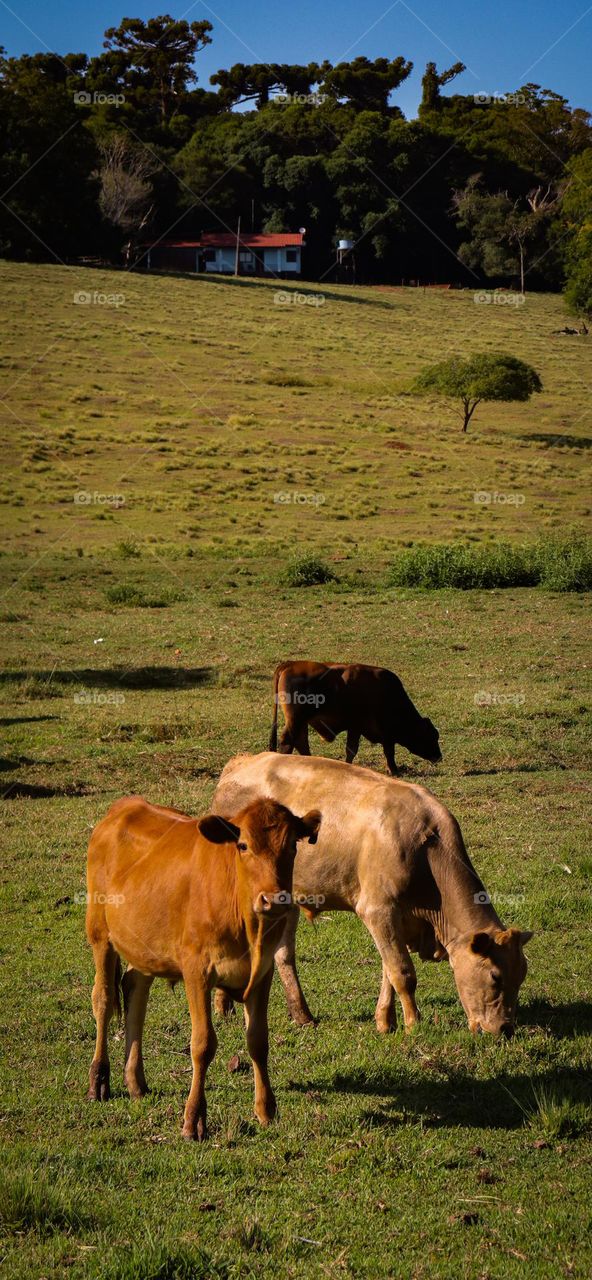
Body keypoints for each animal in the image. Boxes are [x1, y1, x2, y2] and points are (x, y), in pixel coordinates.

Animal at [85, 794, 321, 1140]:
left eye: (292, 845)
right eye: (243, 845)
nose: (274, 899)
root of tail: (127, 805)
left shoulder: (262, 972)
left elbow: (258, 1040)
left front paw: (266, 1109)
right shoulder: (196, 970)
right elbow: (202, 1044)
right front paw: (193, 1118)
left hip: (144, 942)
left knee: (134, 989)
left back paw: (136, 1081)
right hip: (100, 933)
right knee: (102, 999)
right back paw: (99, 1080)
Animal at [213, 754, 533, 1038]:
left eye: (522, 975)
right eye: (495, 976)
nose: (505, 1029)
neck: (428, 847)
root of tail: (241, 762)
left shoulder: (397, 921)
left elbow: (388, 971)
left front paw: (385, 1021)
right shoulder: (379, 910)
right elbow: (403, 973)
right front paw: (413, 1025)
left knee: (283, 953)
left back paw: (301, 1015)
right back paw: (223, 1006)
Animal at [268, 661, 441, 774]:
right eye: (431, 736)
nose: (439, 756)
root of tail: (290, 664)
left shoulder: (355, 728)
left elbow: (351, 750)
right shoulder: (384, 734)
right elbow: (387, 752)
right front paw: (394, 770)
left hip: (301, 722)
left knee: (301, 742)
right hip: (296, 720)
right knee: (289, 741)